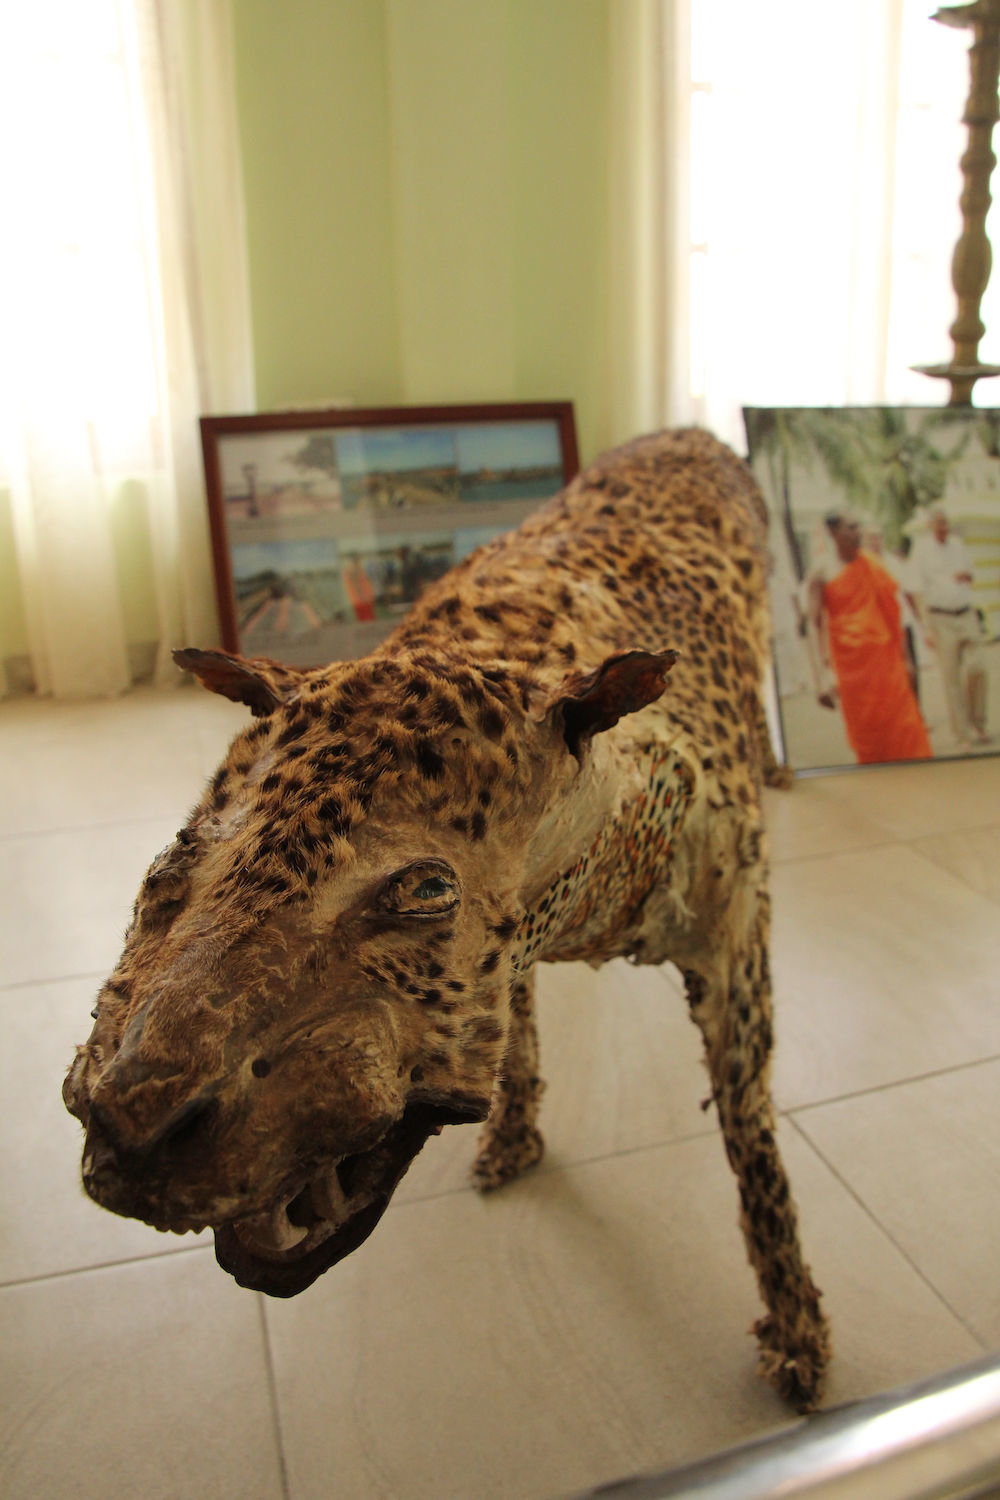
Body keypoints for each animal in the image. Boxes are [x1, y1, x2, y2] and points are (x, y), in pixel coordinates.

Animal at [63, 427, 830, 1411]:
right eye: (173, 860)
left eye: (425, 891)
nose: (129, 1128)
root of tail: (689, 433)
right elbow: (515, 1022)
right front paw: (512, 1133)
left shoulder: (736, 940)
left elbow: (751, 1129)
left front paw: (798, 1333)